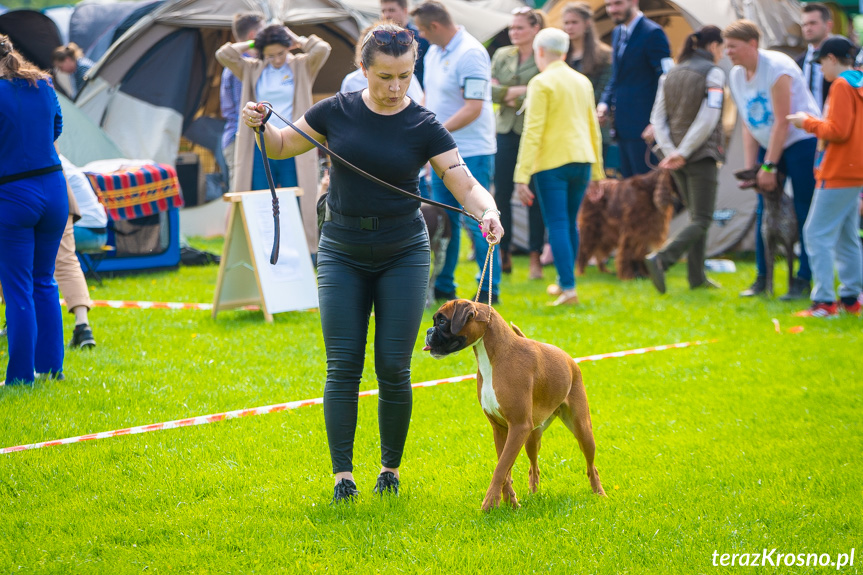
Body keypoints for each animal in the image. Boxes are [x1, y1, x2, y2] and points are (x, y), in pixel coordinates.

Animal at [424, 300, 600, 510]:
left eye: (442, 321)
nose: (428, 331)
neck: (495, 357)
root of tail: (568, 358)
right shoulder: (501, 429)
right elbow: (504, 466)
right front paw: (510, 501)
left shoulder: (518, 426)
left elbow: (501, 468)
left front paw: (490, 503)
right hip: (532, 438)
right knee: (534, 467)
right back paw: (533, 494)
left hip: (582, 430)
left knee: (592, 467)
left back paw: (600, 494)